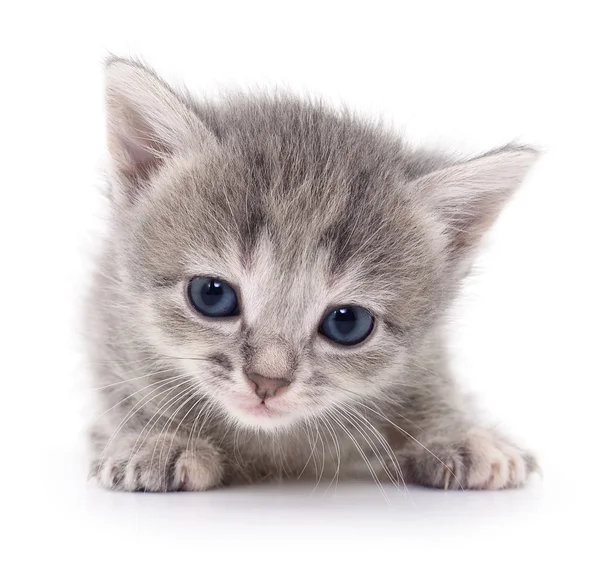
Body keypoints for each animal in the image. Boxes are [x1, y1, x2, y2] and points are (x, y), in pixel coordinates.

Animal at [88, 56, 540, 492]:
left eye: (348, 323)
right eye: (211, 295)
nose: (267, 381)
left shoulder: (426, 354)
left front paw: (459, 434)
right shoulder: (112, 316)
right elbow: (128, 386)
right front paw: (158, 437)